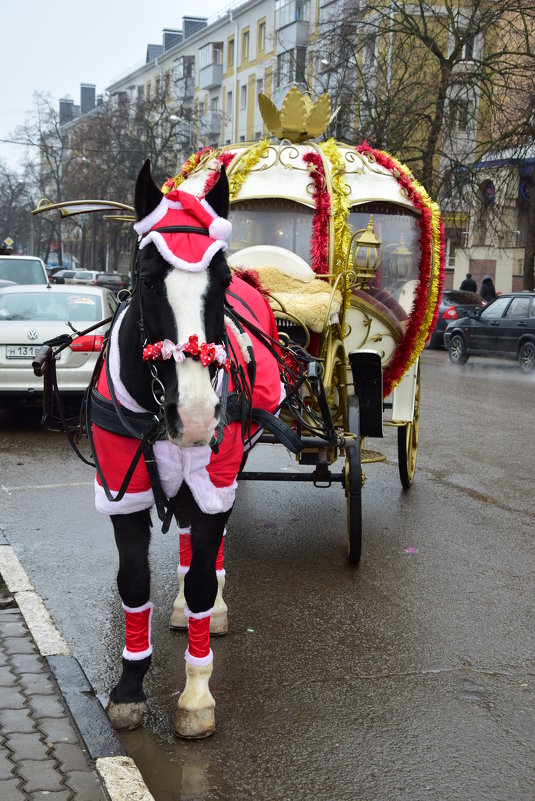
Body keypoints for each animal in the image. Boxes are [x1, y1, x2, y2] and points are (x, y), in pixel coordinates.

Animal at [90, 161, 286, 736]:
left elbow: (201, 577)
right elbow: (134, 583)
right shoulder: (123, 486)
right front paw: (130, 685)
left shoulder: (215, 479)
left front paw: (197, 693)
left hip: (221, 471)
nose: (197, 415)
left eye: (220, 280)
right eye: (147, 278)